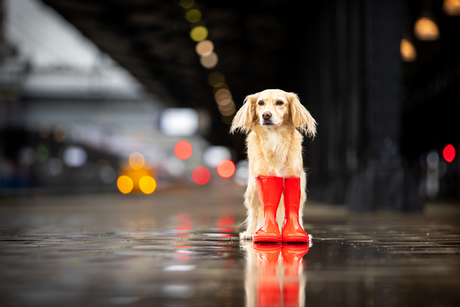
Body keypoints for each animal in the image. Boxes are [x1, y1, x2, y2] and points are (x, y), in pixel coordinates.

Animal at [230, 88, 316, 242]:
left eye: (280, 102)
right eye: (260, 103)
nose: (266, 115)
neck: (274, 139)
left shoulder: (293, 176)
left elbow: (294, 209)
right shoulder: (262, 176)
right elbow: (263, 209)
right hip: (252, 190)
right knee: (254, 212)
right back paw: (251, 233)